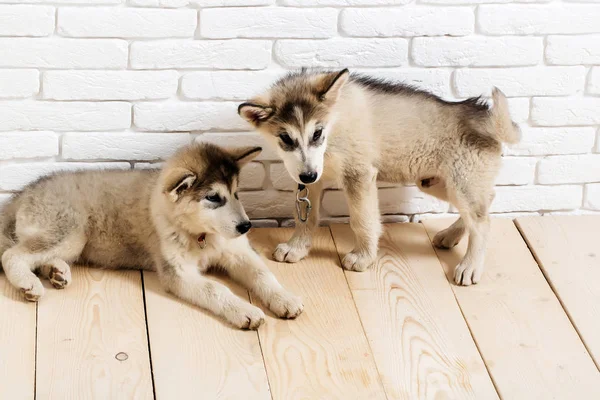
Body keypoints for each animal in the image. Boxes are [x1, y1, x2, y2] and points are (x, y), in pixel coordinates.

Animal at [0, 143, 302, 328]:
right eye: (213, 198)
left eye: (237, 193)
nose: (246, 227)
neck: (202, 236)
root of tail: (23, 193)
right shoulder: (178, 273)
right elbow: (215, 289)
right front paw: (245, 311)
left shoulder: (238, 252)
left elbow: (263, 274)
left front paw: (284, 299)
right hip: (72, 232)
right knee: (12, 254)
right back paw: (29, 283)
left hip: (70, 241)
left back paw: (57, 272)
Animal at [239, 69, 520, 288]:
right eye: (285, 138)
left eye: (317, 133)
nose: (308, 174)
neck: (336, 121)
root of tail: (484, 117)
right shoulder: (310, 182)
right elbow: (305, 218)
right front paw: (297, 247)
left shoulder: (359, 175)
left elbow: (362, 220)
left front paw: (363, 257)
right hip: (436, 182)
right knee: (486, 202)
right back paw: (451, 236)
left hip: (460, 183)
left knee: (482, 222)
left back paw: (470, 266)